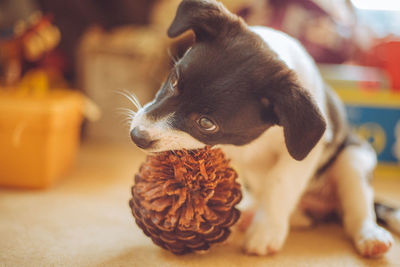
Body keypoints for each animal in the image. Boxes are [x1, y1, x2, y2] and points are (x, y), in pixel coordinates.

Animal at [129, 0, 400, 258]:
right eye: (174, 81)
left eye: (206, 123)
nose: (137, 136)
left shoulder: (304, 155)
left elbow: (280, 184)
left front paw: (265, 232)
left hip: (354, 158)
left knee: (356, 209)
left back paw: (370, 236)